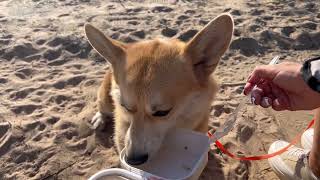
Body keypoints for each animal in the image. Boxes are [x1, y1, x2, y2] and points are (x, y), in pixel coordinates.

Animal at [84, 13, 234, 166]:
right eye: (125, 107)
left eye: (162, 112)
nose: (132, 160)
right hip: (105, 98)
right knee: (102, 107)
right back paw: (100, 119)